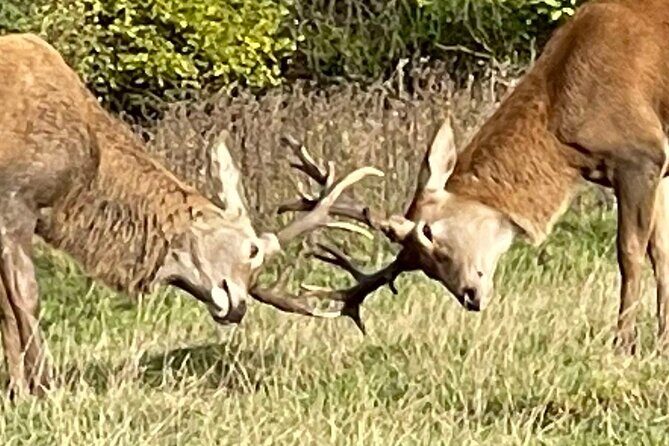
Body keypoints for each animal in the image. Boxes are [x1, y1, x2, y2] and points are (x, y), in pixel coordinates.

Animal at [0, 32, 383, 396]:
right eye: (252, 249)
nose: (238, 307)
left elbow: (6, 310)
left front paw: (18, 391)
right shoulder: (16, 200)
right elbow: (26, 298)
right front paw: (43, 387)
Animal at [272, 0, 669, 355]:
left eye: (429, 233)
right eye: (425, 268)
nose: (470, 296)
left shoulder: (639, 155)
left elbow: (629, 252)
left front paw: (624, 344)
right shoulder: (660, 166)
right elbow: (661, 250)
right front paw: (662, 339)